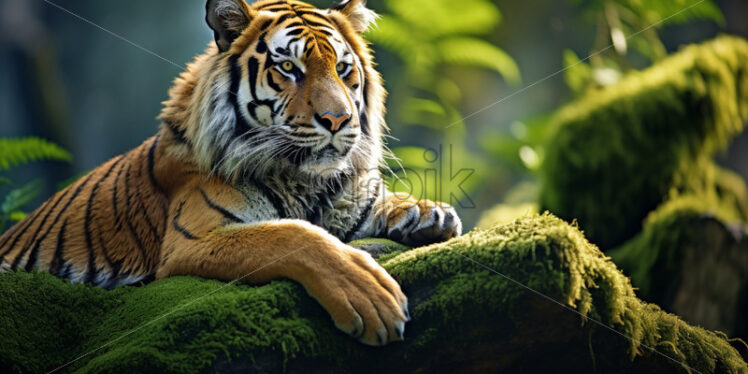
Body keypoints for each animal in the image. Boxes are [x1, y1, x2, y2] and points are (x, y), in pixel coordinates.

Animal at [0, 0, 462, 346]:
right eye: (289, 69)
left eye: (343, 69)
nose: (338, 119)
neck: (305, 179)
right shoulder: (192, 241)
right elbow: (293, 235)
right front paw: (369, 295)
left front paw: (429, 212)